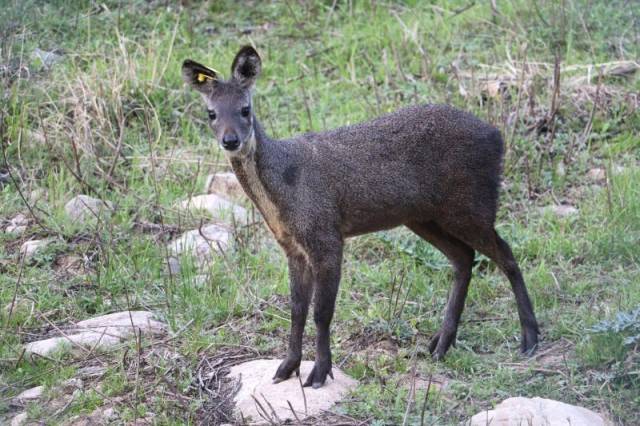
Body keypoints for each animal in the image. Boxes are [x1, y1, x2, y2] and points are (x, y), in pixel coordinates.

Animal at [181, 45, 540, 388]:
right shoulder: (293, 247)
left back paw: (529, 338)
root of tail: (497, 137)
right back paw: (440, 344)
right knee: (464, 258)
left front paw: (319, 373)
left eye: (246, 109)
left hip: (470, 204)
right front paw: (287, 367)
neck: (286, 186)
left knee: (505, 254)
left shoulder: (326, 236)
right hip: (424, 216)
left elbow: (321, 313)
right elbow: (296, 310)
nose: (230, 140)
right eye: (211, 113)